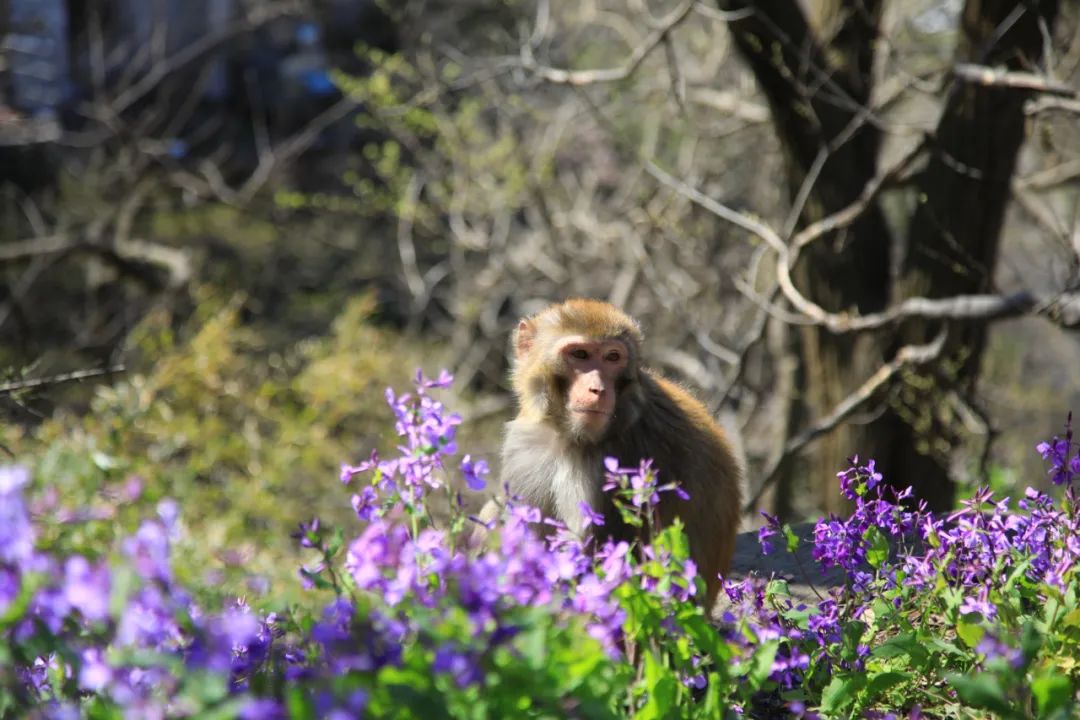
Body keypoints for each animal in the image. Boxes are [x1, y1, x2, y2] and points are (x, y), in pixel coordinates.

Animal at [481, 295, 743, 613]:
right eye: (580, 354)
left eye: (612, 357)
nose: (598, 389)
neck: (567, 435)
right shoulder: (526, 447)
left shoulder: (616, 460)